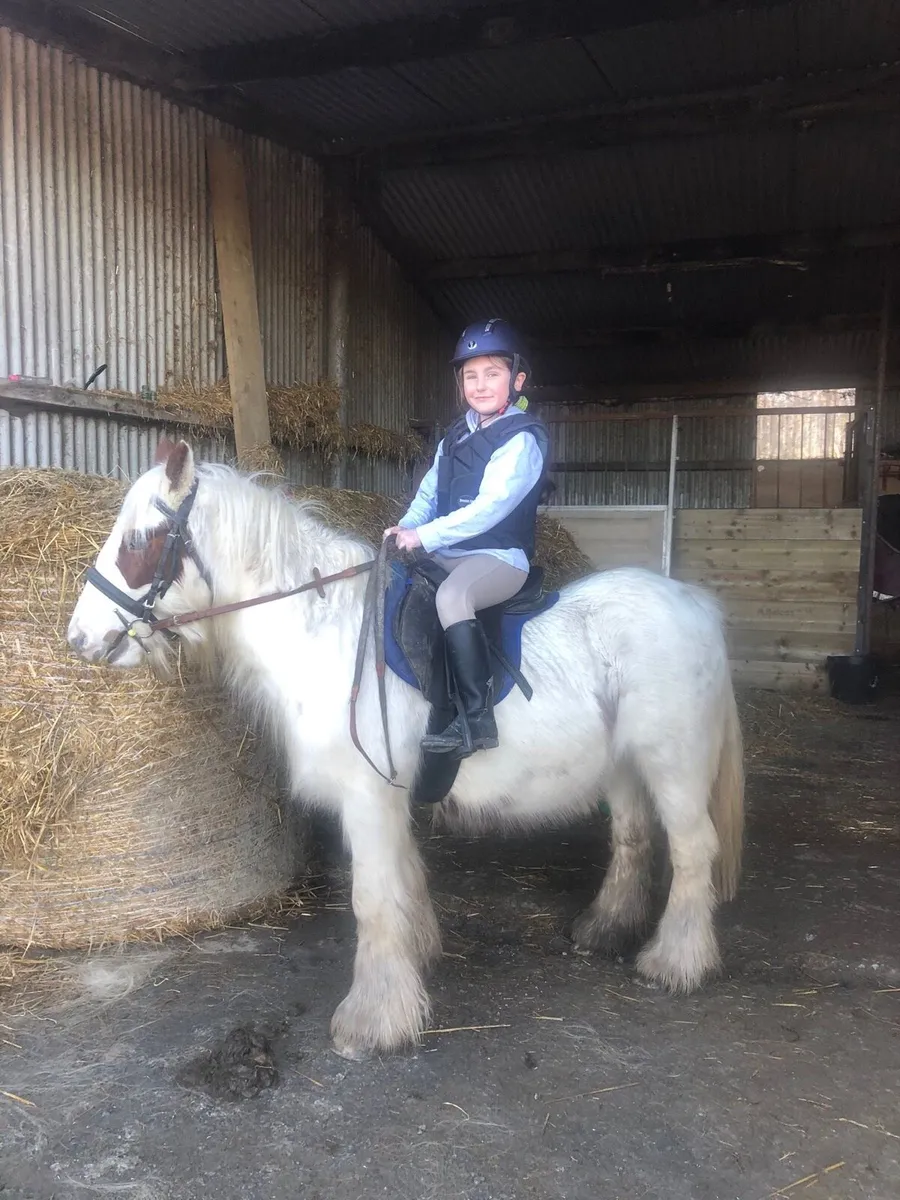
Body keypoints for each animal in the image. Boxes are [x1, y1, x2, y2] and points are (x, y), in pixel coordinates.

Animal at [66, 438, 744, 1060]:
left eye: (138, 540)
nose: (80, 638)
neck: (327, 636)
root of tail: (694, 604)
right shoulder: (388, 801)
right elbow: (402, 884)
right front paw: (413, 964)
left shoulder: (366, 798)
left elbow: (371, 900)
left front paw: (371, 1022)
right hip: (624, 767)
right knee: (632, 839)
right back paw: (606, 930)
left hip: (673, 765)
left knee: (693, 850)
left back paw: (676, 963)